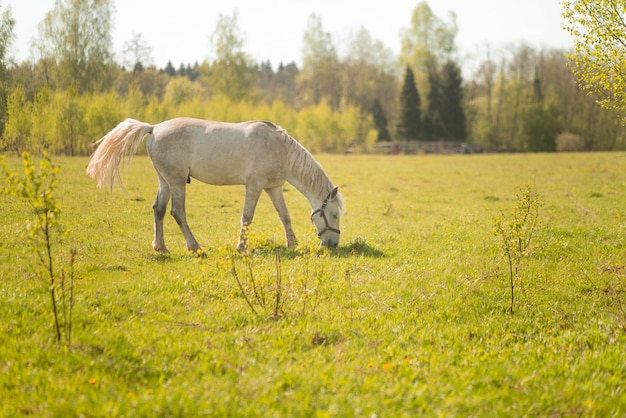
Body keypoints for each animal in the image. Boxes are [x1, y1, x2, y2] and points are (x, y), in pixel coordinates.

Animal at [85, 118, 344, 255]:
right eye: (334, 214)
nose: (333, 244)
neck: (279, 148)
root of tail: (154, 127)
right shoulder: (254, 185)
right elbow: (247, 217)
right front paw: (241, 247)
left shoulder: (273, 188)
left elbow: (285, 216)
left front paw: (292, 244)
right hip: (177, 181)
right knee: (177, 212)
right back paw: (194, 247)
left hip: (165, 181)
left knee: (158, 209)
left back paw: (161, 248)